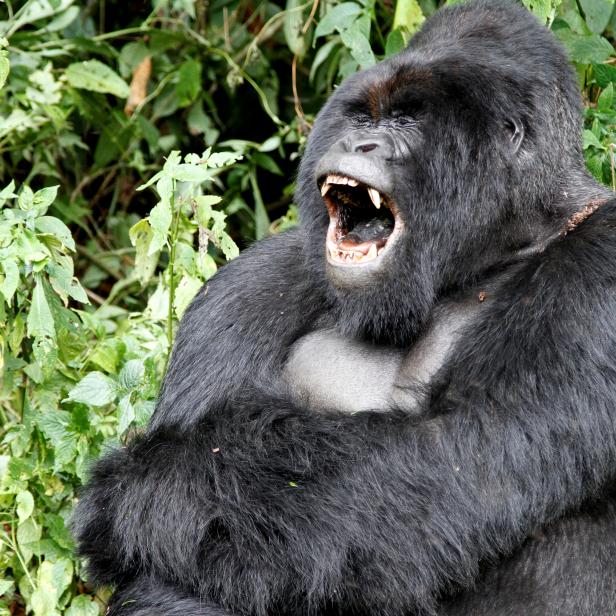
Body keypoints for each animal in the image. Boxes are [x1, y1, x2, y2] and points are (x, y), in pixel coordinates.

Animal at [73, 2, 616, 612]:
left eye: (405, 121)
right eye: (361, 120)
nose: (360, 146)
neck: (500, 243)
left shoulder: (602, 267)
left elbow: (458, 452)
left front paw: (145, 487)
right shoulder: (248, 287)